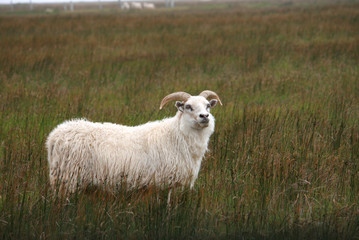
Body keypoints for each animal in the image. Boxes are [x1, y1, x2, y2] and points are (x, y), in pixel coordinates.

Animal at [46, 90, 222, 193]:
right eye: (188, 107)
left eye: (208, 106)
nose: (204, 116)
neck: (176, 135)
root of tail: (54, 136)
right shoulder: (164, 182)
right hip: (68, 179)